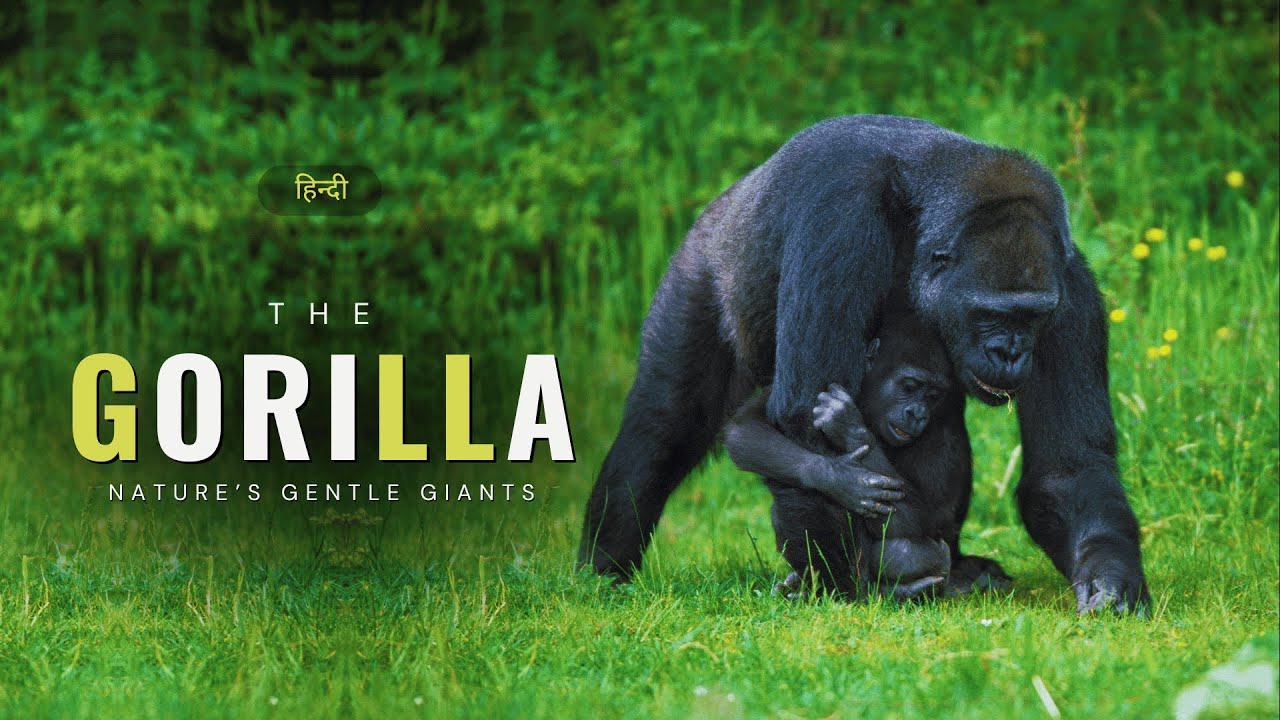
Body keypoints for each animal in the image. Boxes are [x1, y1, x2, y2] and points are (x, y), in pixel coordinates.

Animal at [579, 115, 1149, 615]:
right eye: (990, 314)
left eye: (1031, 316)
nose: (1009, 351)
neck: (920, 219)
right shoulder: (841, 220)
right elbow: (801, 415)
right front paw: (847, 586)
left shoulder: (1070, 285)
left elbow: (1067, 471)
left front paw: (1110, 579)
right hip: (704, 259)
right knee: (663, 424)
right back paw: (604, 570)